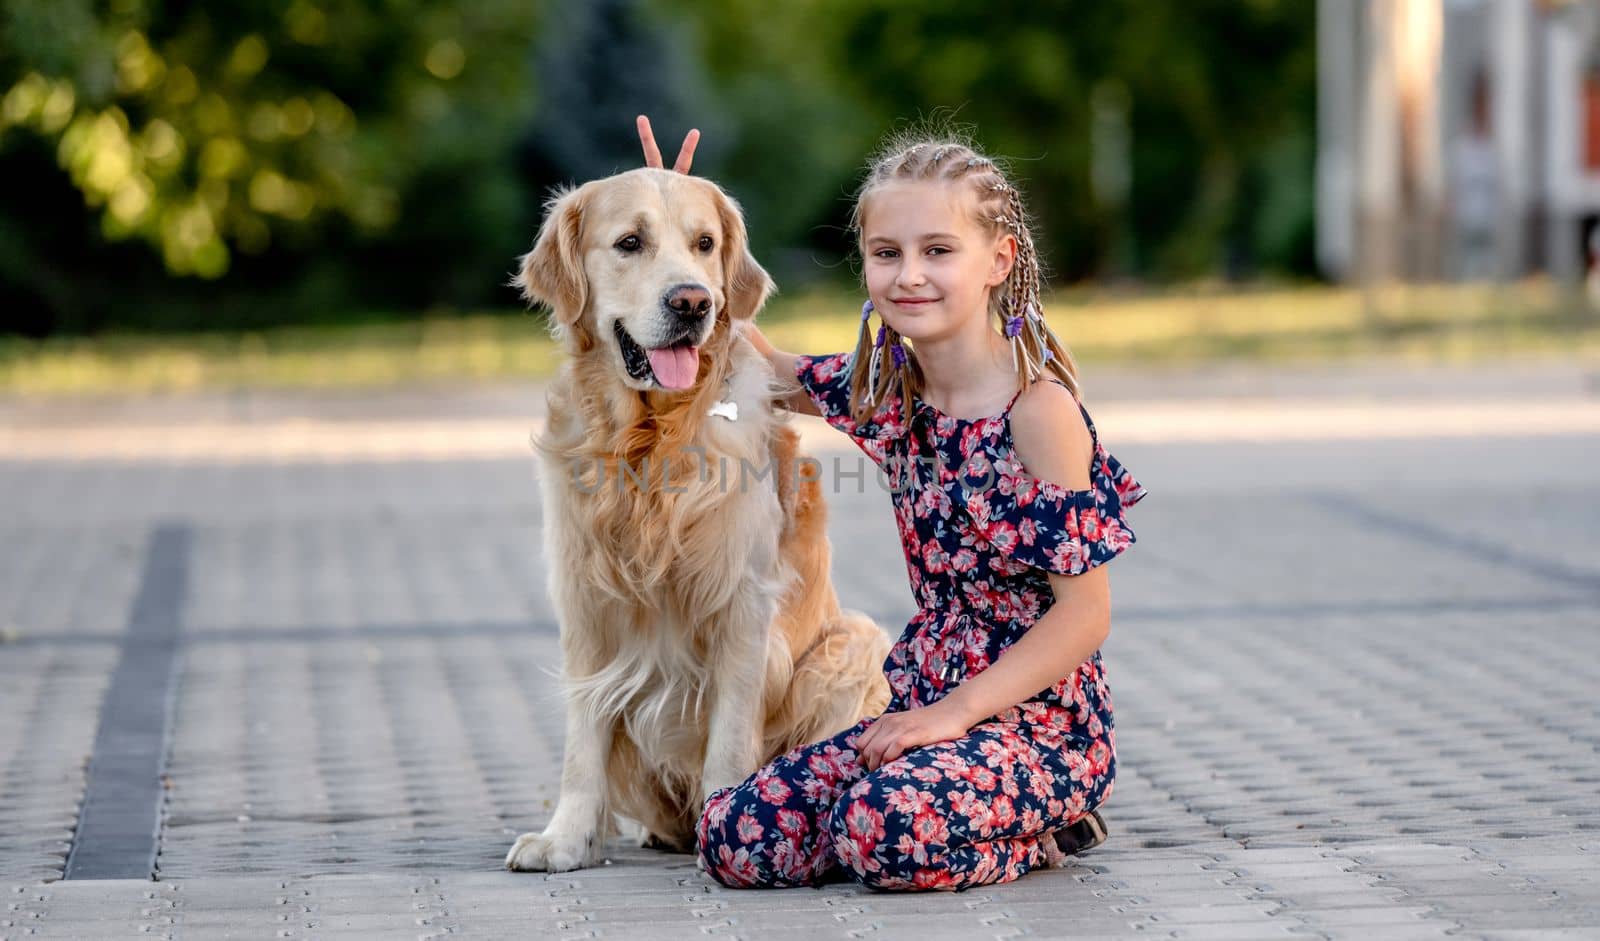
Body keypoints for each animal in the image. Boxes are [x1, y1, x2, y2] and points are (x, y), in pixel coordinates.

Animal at [505, 168, 896, 876]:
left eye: (705, 243)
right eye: (629, 242)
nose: (692, 303)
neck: (649, 440)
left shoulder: (743, 602)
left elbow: (731, 736)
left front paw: (728, 821)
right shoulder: (585, 604)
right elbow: (582, 743)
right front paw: (565, 839)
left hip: (854, 645)